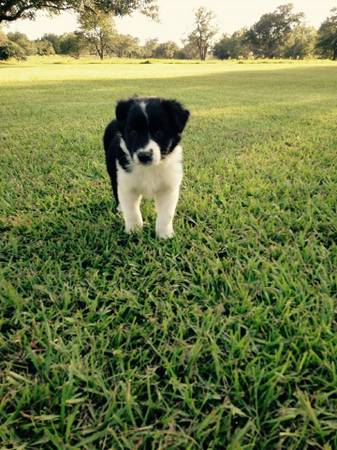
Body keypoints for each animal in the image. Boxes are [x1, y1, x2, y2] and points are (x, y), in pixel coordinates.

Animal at [103, 96, 189, 239]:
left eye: (159, 132)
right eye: (133, 132)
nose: (144, 156)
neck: (149, 168)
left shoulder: (168, 187)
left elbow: (166, 214)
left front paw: (164, 235)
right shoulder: (127, 185)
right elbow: (132, 211)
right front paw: (134, 231)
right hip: (113, 171)